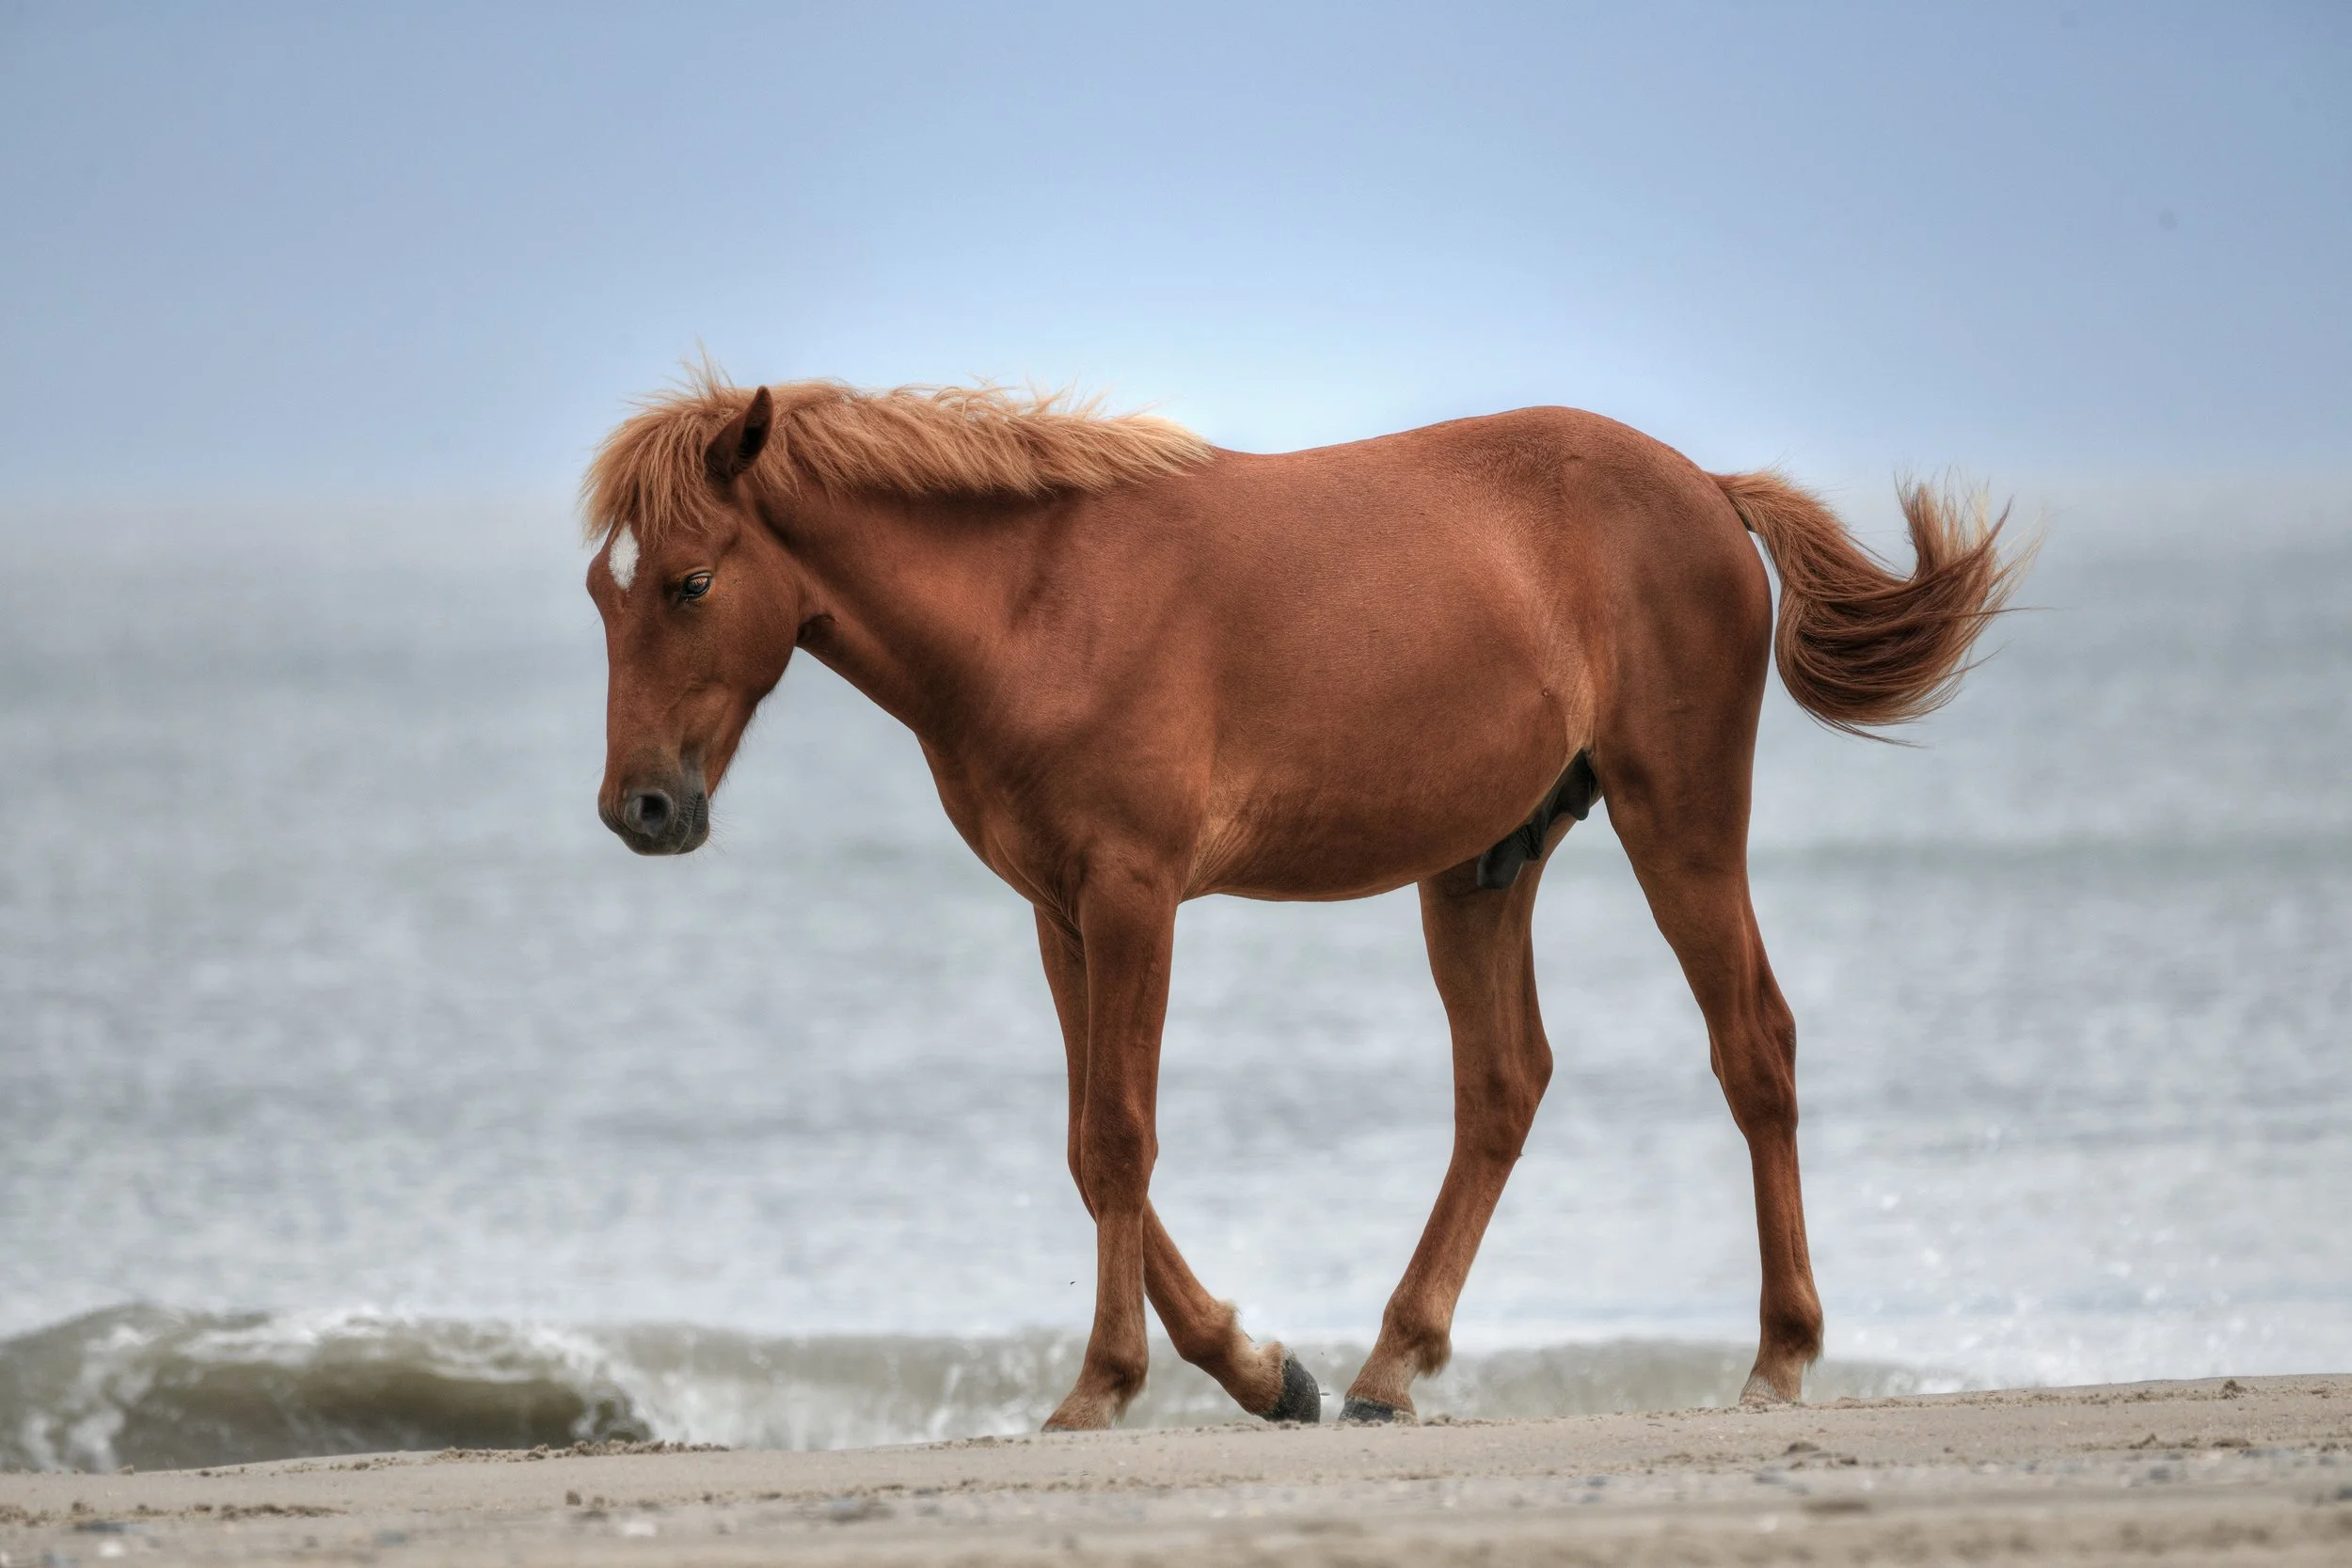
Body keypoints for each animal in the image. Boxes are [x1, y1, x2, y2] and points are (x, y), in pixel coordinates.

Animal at [583, 372, 2023, 1429]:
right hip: (1481, 868)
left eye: (692, 580)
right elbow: (1086, 1146)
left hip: (1681, 823)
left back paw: (1778, 1355)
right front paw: (1260, 1367)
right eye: (605, 586)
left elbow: (1118, 1134)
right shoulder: (1059, 912)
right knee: (1503, 1085)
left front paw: (1101, 1386)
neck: (1039, 605)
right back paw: (1391, 1364)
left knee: (1752, 1047)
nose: (639, 806)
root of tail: (1711, 492)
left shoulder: (1134, 896)